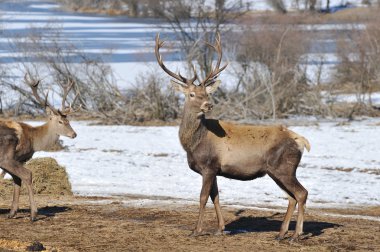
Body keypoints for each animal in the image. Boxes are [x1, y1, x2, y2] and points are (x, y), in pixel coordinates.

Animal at [0, 75, 78, 220]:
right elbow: (20, 178)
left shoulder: (19, 159)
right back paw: (33, 214)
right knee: (28, 174)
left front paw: (12, 212)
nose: (74, 134)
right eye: (60, 121)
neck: (33, 139)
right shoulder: (14, 158)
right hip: (4, 157)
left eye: (68, 121)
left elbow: (16, 181)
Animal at [156, 34, 310, 240]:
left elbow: (203, 197)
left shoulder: (209, 165)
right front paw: (220, 228)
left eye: (206, 93)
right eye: (191, 94)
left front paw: (196, 230)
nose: (208, 104)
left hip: (284, 167)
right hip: (277, 170)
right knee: (291, 197)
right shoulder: (215, 169)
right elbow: (216, 197)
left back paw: (296, 234)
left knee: (301, 193)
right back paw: (282, 233)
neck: (193, 144)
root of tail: (300, 141)